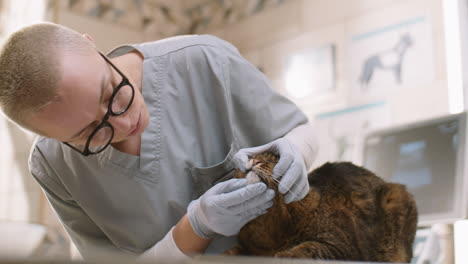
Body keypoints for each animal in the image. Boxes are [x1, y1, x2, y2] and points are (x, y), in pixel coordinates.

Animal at [225, 153, 418, 262]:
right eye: (249, 157)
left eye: (274, 160)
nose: (254, 160)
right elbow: (236, 250)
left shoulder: (340, 245)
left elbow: (310, 247)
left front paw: (286, 254)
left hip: (395, 196)